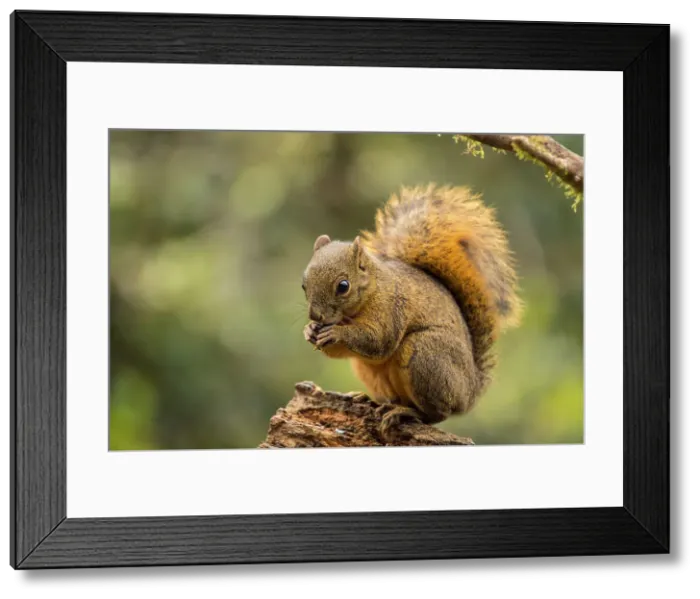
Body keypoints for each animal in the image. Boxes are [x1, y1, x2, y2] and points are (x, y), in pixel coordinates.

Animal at [301, 183, 523, 439]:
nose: (315, 316)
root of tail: (469, 393)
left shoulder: (391, 308)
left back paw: (406, 412)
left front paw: (336, 332)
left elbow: (378, 340)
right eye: (304, 284)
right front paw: (309, 330)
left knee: (437, 414)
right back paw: (370, 400)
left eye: (343, 286)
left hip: (425, 354)